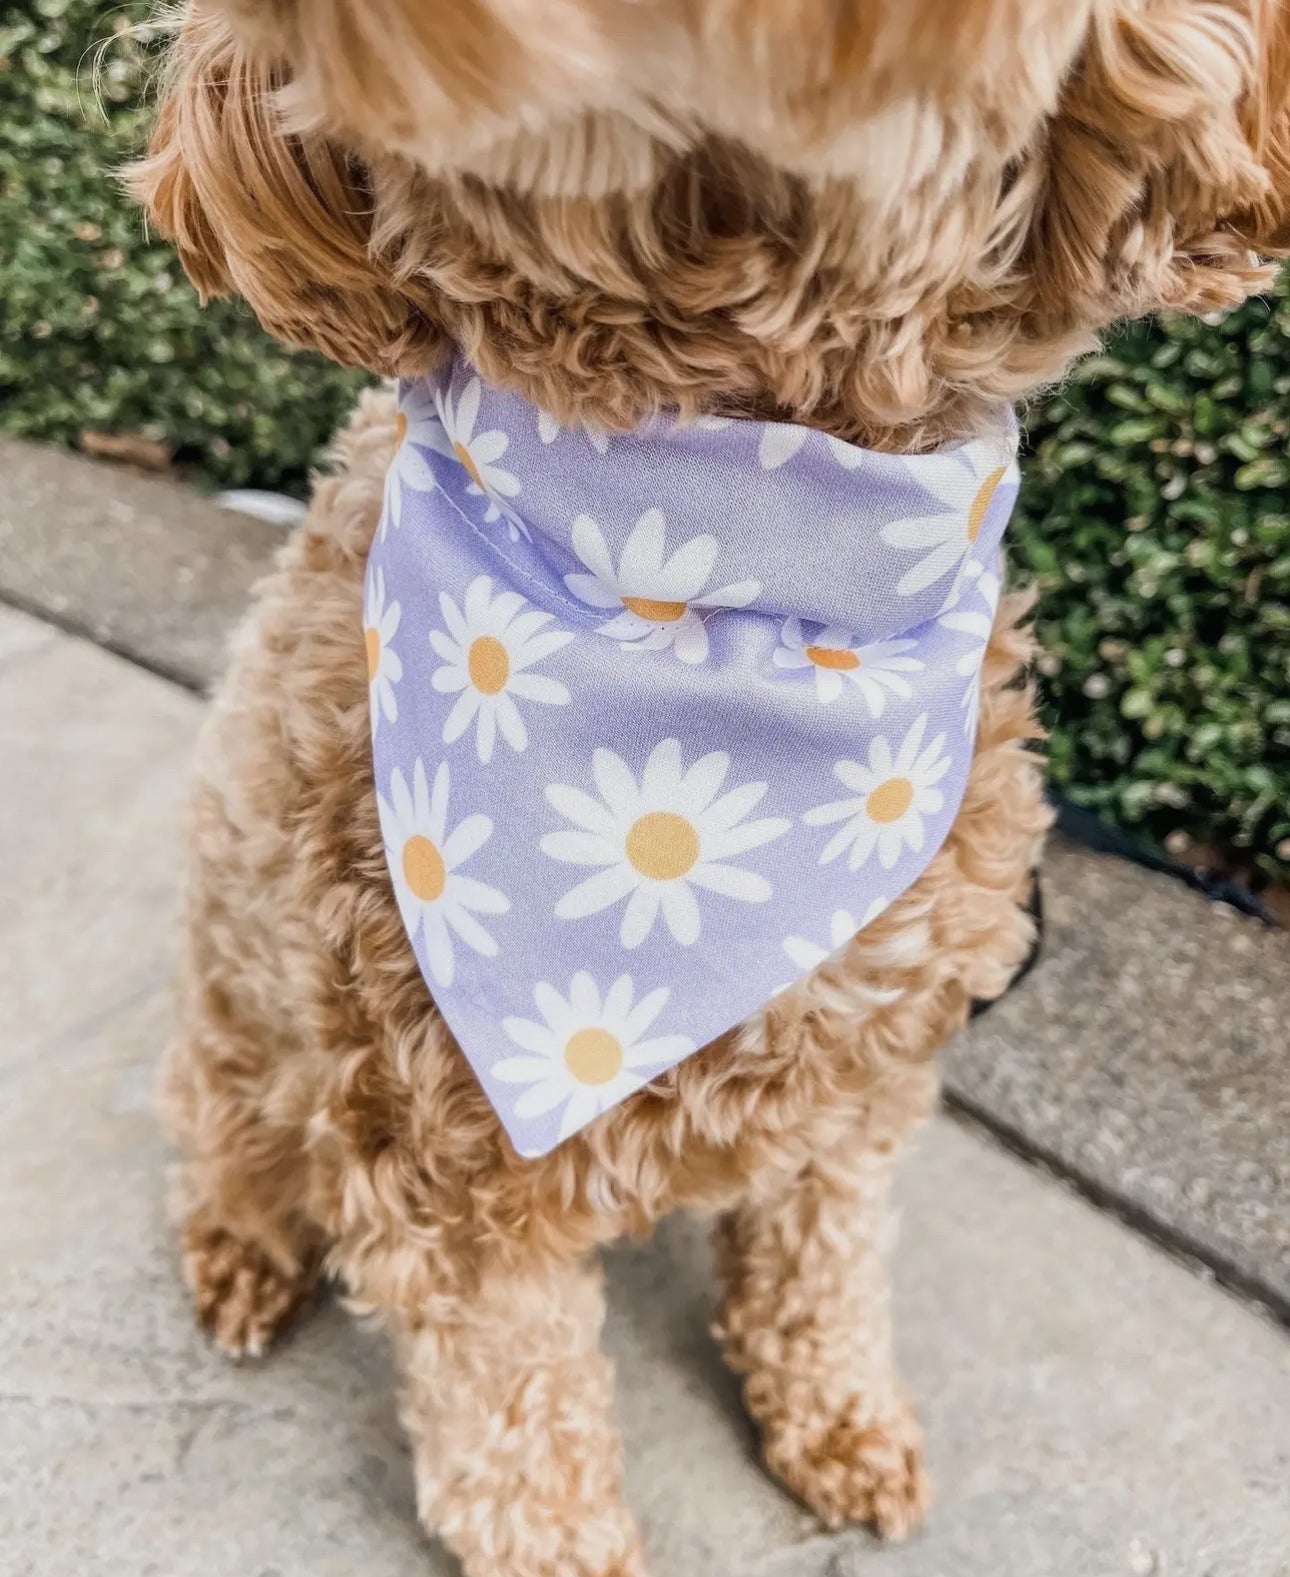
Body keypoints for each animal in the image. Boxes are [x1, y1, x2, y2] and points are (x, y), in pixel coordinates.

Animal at [133, 6, 1286, 1570]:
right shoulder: (442, 1156)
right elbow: (521, 1433)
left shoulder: (862, 1073)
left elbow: (823, 1263)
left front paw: (839, 1421)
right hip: (247, 1030)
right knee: (231, 1147)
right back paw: (240, 1255)